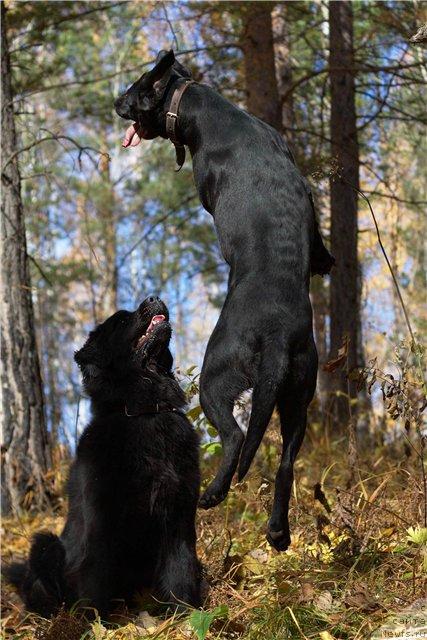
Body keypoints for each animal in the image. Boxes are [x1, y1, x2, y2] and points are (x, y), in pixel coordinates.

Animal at [5, 298, 202, 616]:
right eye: (121, 321)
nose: (154, 298)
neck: (143, 413)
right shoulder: (102, 522)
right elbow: (96, 580)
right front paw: (95, 622)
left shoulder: (179, 514)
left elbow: (181, 569)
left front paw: (185, 614)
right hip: (46, 544)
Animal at [115, 51, 336, 552]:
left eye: (133, 90)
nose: (114, 102)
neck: (195, 104)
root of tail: (277, 334)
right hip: (298, 396)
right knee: (285, 462)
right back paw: (277, 531)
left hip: (216, 379)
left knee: (234, 438)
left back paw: (213, 494)